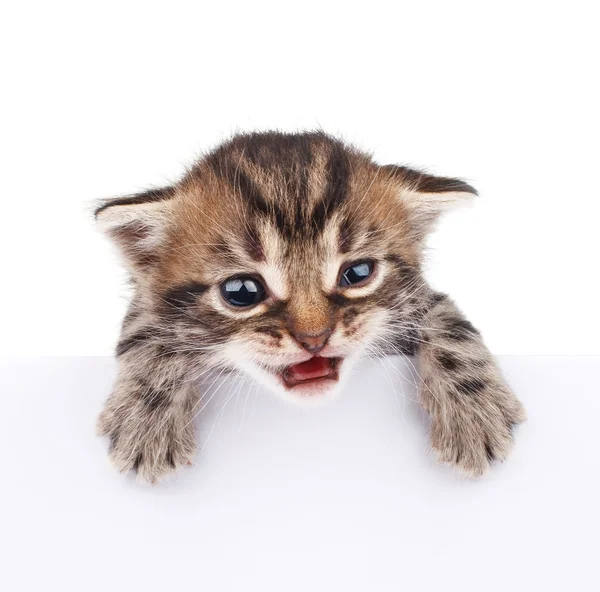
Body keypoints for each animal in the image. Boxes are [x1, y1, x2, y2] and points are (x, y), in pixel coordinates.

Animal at [94, 130, 524, 480]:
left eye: (357, 273)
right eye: (241, 292)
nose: (314, 339)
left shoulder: (419, 298)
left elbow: (451, 323)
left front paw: (475, 409)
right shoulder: (145, 304)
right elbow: (149, 334)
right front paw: (147, 419)